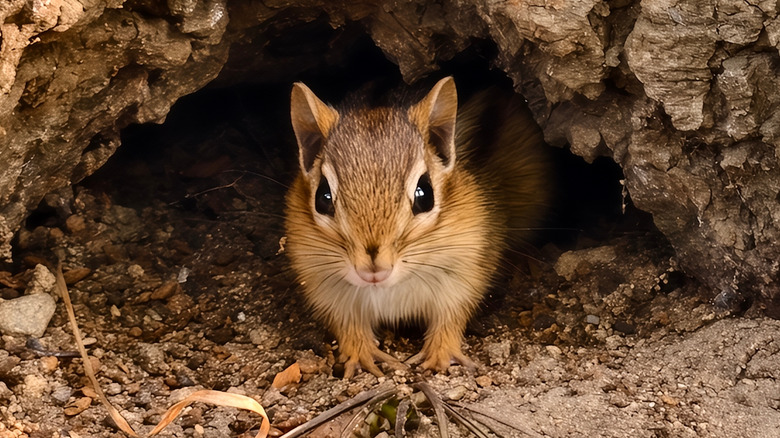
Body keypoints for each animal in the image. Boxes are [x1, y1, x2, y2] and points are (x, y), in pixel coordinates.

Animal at [285, 77, 549, 378]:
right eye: (323, 197)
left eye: (425, 194)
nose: (373, 270)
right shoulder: (327, 291)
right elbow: (349, 328)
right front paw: (361, 355)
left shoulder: (465, 275)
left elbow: (450, 320)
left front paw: (440, 356)